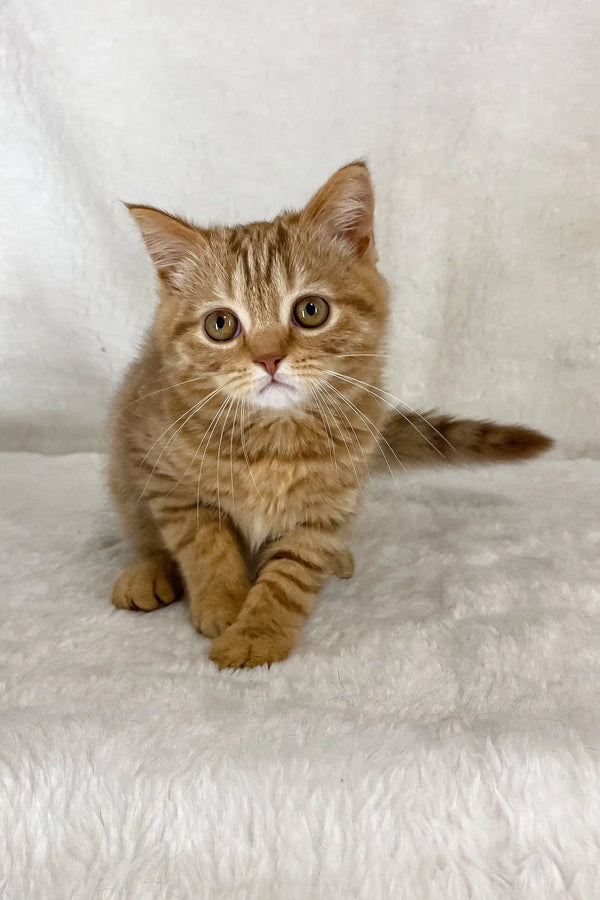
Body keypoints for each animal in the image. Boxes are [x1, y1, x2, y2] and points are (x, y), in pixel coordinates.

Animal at [109, 162, 552, 668]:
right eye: (220, 324)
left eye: (310, 310)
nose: (268, 358)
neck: (274, 437)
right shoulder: (166, 478)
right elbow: (204, 544)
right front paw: (224, 604)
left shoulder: (327, 506)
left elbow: (291, 575)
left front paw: (257, 632)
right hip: (122, 461)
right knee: (141, 530)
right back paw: (147, 572)